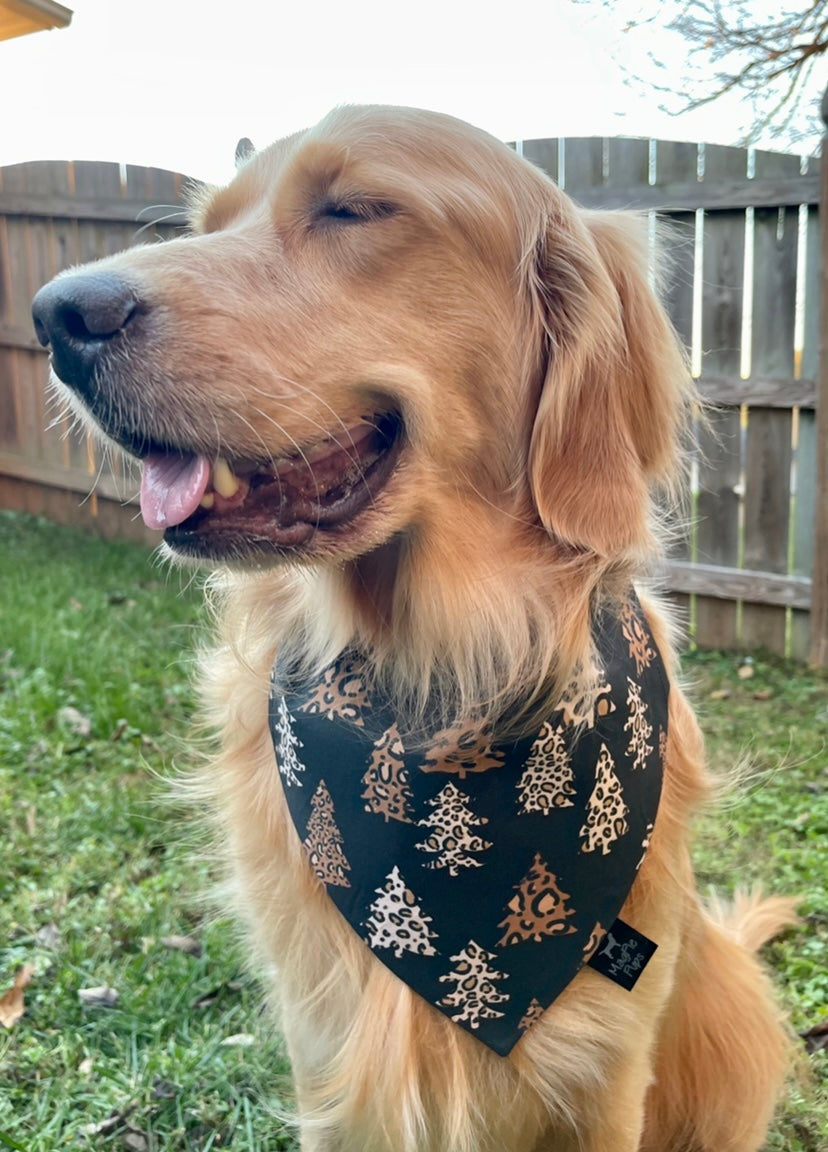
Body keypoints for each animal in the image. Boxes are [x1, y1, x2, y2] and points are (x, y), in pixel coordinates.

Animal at [33, 108, 796, 1152]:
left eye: (354, 209)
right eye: (210, 224)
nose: (56, 314)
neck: (438, 682)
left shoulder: (611, 1067)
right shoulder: (327, 1054)